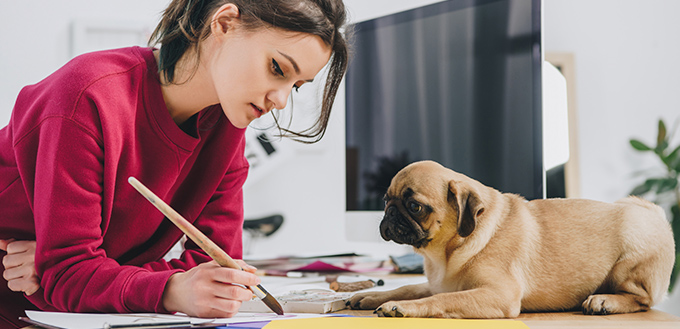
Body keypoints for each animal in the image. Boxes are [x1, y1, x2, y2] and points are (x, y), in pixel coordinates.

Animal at [348, 160, 676, 316]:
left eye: (415, 206)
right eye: (386, 200)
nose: (390, 213)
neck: (446, 253)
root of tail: (656, 213)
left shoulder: (498, 294)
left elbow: (441, 299)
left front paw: (401, 308)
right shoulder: (437, 283)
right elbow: (408, 287)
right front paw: (372, 296)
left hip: (631, 255)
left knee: (643, 300)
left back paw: (605, 300)